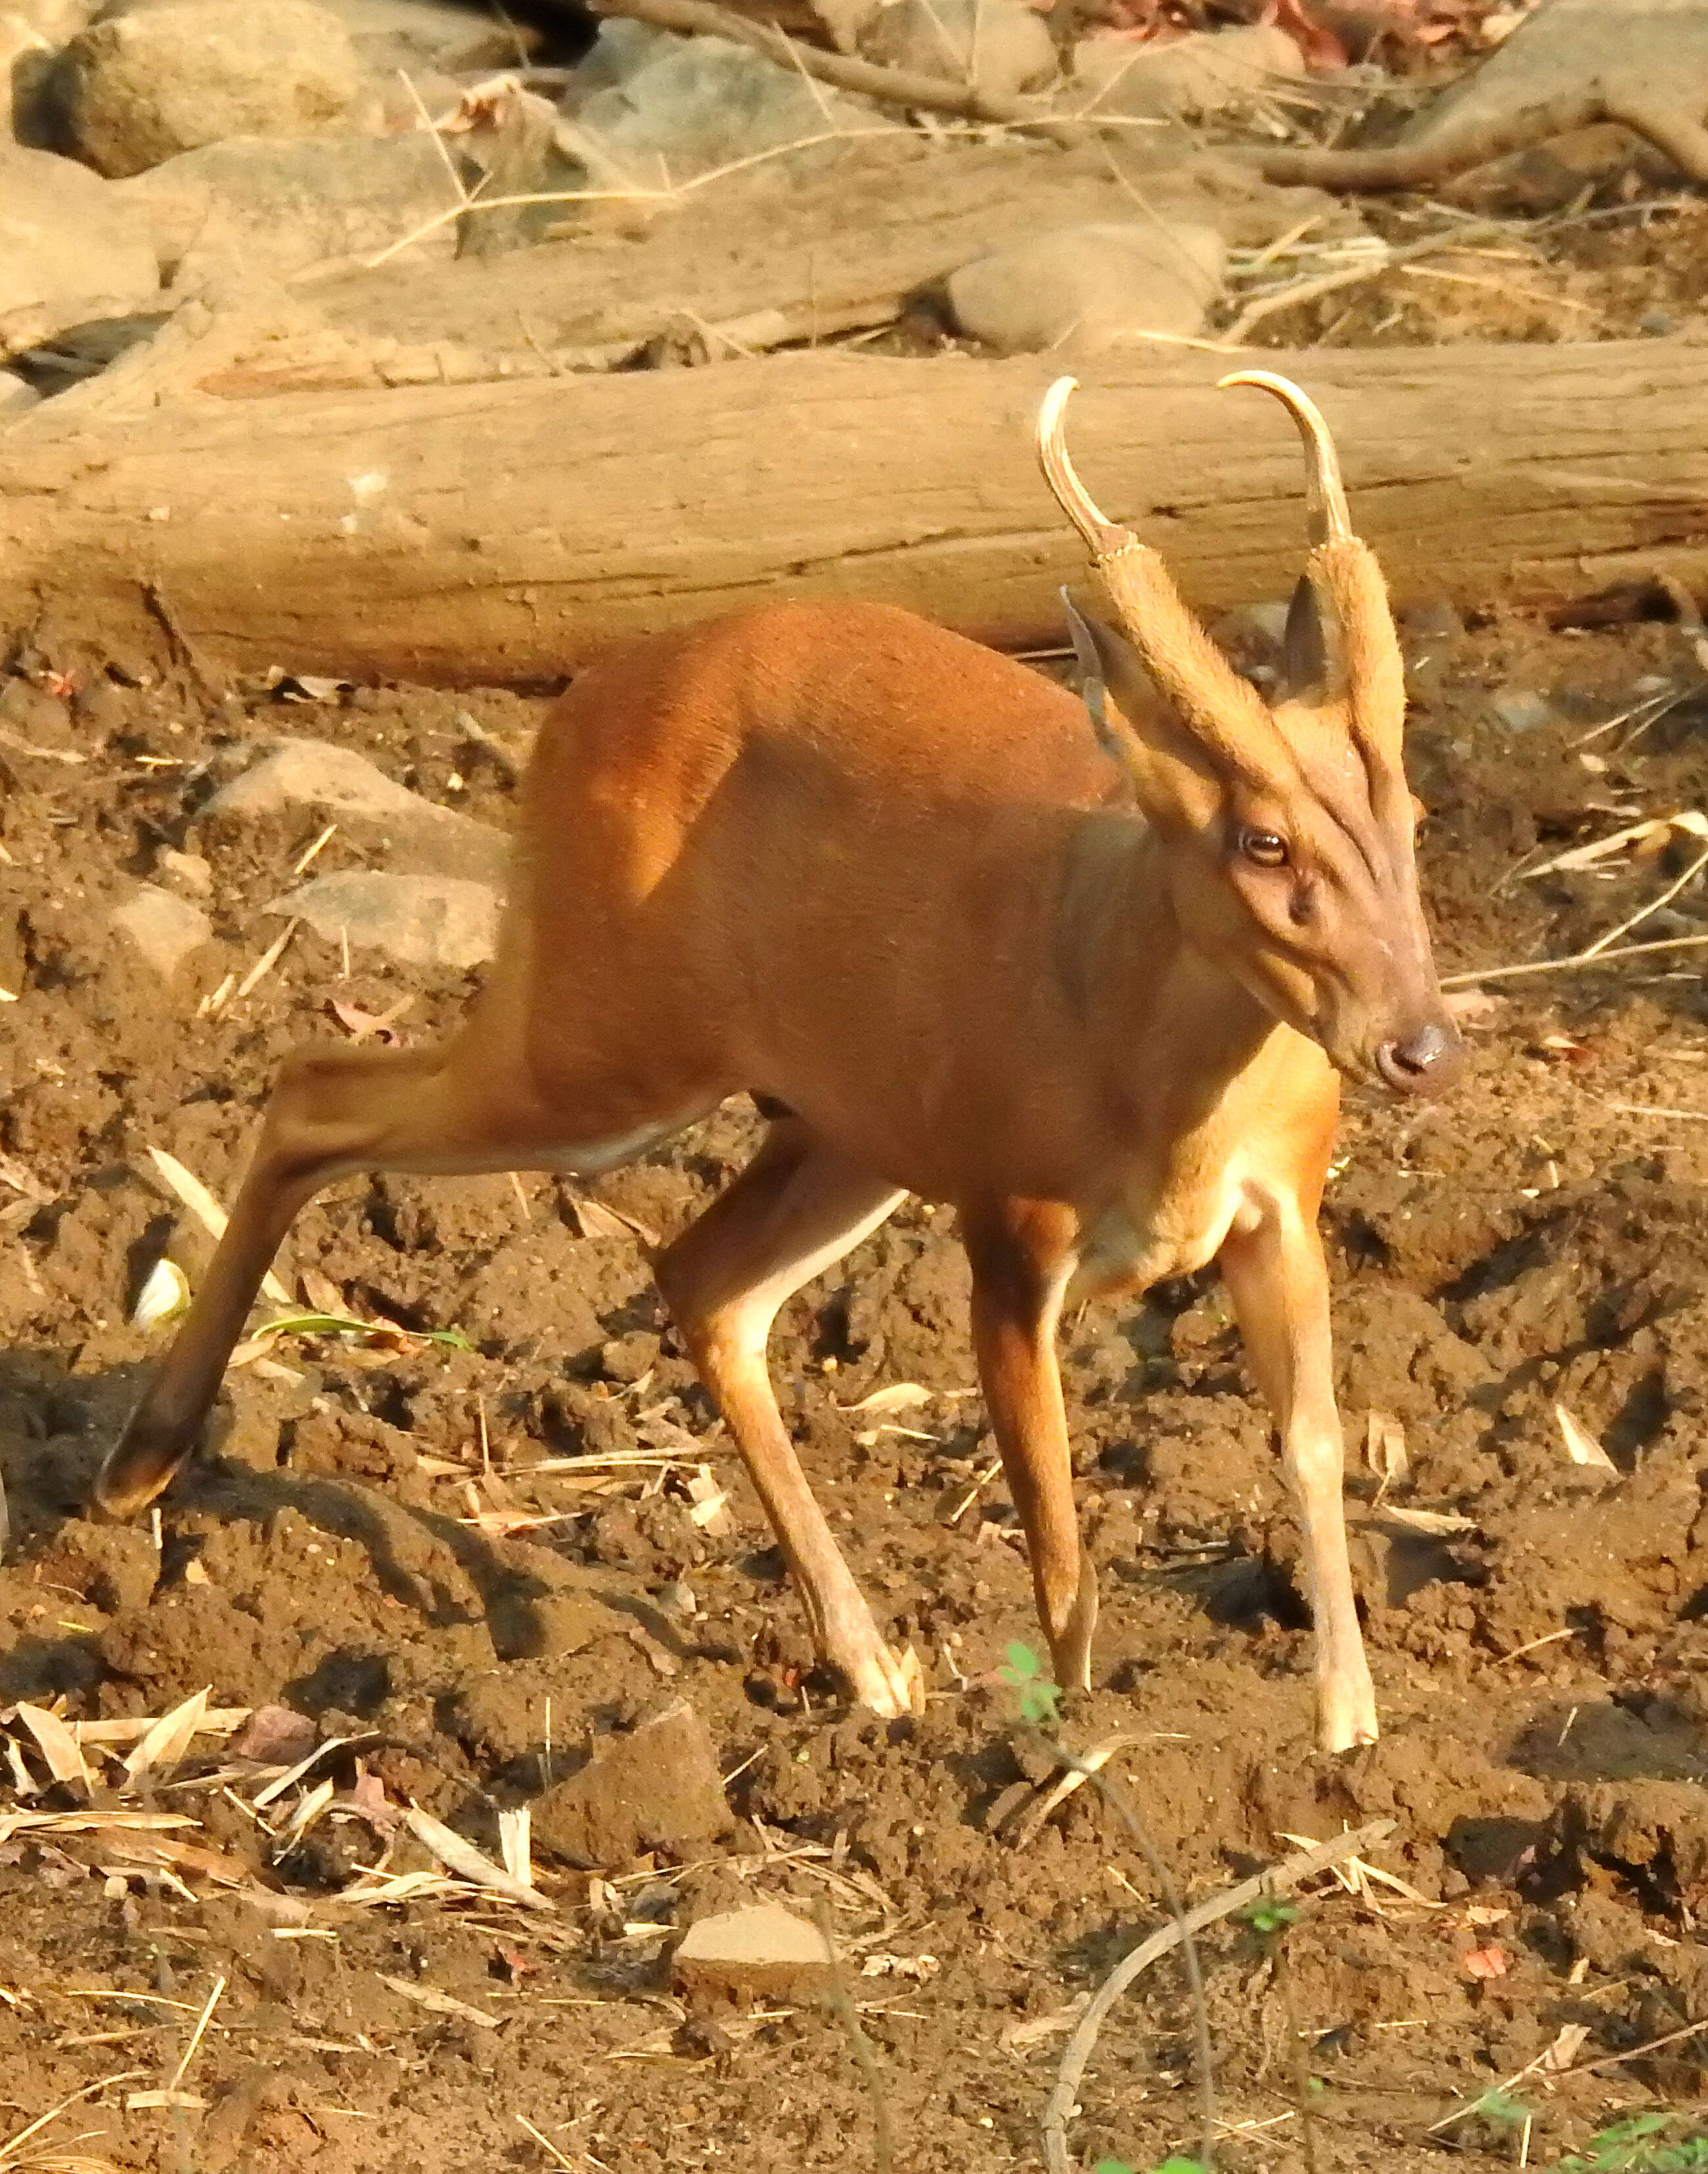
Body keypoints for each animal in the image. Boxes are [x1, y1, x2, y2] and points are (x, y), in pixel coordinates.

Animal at [89, 369, 1451, 1747]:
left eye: (1411, 816)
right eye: (1262, 841)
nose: (1417, 1045)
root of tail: (578, 703)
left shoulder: (1281, 1210)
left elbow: (1311, 1441)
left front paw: (1348, 1732)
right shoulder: (1009, 1226)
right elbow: (1053, 1509)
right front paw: (1067, 1740)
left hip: (839, 1129)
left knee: (704, 1281)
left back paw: (871, 1668)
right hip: (597, 1039)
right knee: (315, 1088)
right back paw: (133, 1468)